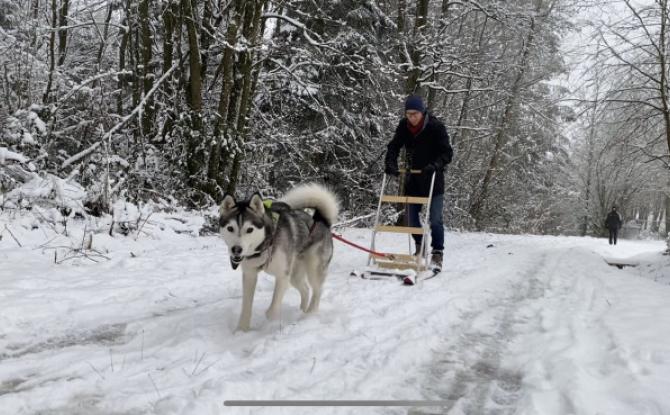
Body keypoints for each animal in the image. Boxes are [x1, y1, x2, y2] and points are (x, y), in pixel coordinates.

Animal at [218, 184, 338, 334]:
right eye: (230, 228)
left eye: (250, 229)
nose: (236, 249)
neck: (266, 244)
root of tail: (321, 221)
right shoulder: (250, 275)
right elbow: (246, 306)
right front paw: (242, 330)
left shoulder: (282, 276)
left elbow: (273, 306)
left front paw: (268, 322)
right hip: (295, 275)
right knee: (305, 289)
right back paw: (301, 311)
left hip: (313, 270)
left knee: (317, 291)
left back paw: (309, 315)